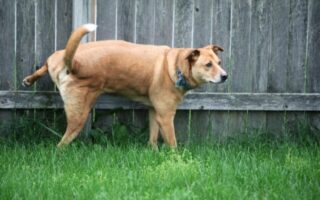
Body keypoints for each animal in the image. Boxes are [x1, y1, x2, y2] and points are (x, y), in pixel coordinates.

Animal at [22, 23, 226, 148]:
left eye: (219, 62)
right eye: (208, 65)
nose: (225, 76)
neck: (176, 65)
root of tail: (72, 63)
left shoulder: (155, 112)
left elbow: (153, 137)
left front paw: (153, 152)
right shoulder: (166, 116)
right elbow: (172, 143)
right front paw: (176, 162)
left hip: (56, 57)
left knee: (45, 64)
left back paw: (30, 79)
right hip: (78, 114)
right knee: (61, 143)